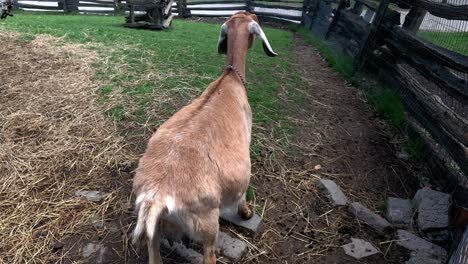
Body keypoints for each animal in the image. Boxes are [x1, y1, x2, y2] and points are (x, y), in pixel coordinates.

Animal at [132, 11, 276, 262]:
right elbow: (242, 193)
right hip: (207, 223)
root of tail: (157, 196)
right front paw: (246, 213)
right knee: (209, 253)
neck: (230, 79)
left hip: (155, 233)